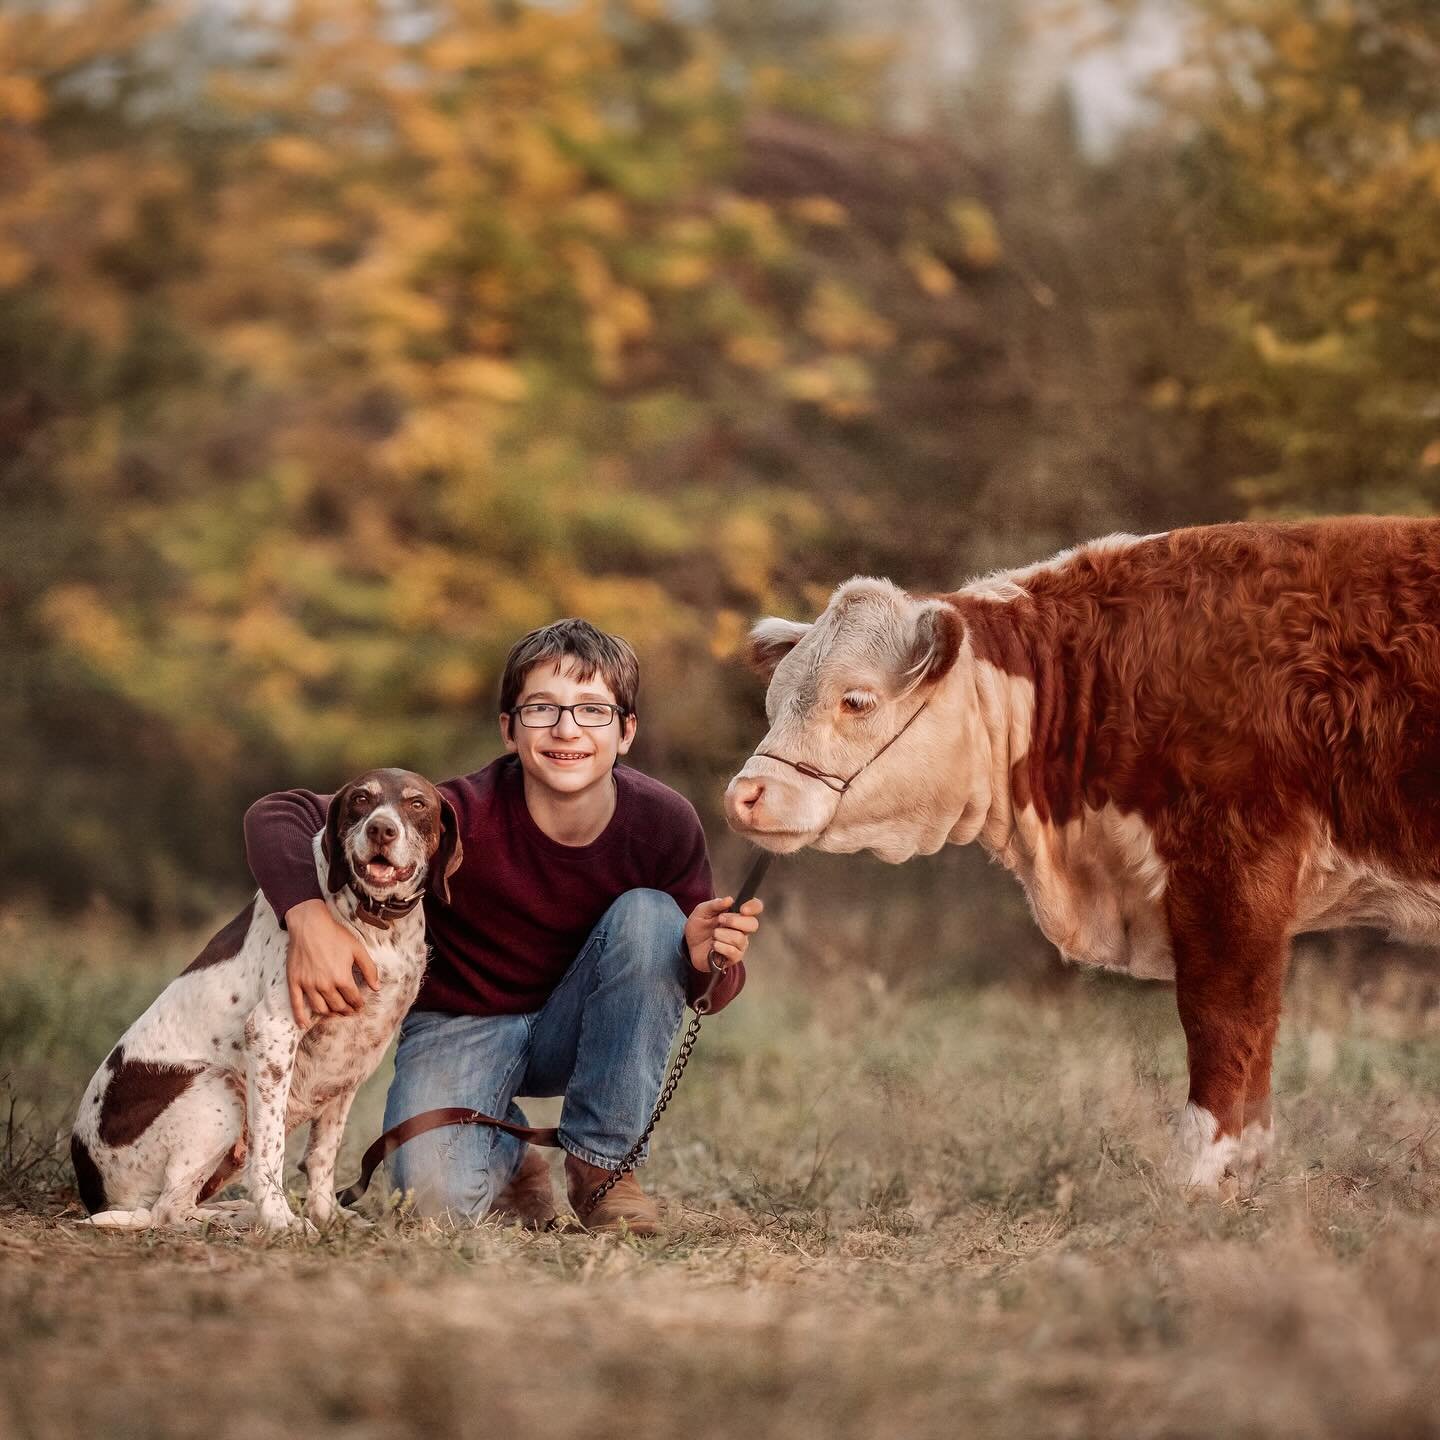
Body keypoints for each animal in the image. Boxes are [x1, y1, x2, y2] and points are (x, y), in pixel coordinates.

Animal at [70, 771, 460, 1232]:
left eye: (417, 804)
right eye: (361, 800)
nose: (381, 829)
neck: (375, 922)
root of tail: (90, 1186)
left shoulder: (354, 1054)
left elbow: (323, 1154)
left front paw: (326, 1217)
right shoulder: (273, 1033)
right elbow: (270, 1151)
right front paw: (281, 1221)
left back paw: (237, 1213)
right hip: (218, 1088)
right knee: (167, 1211)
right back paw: (240, 1219)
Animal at [725, 518, 1440, 1192]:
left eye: (856, 699)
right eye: (773, 701)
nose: (744, 796)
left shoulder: (1232, 869)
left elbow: (1224, 1015)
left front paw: (1198, 1175)